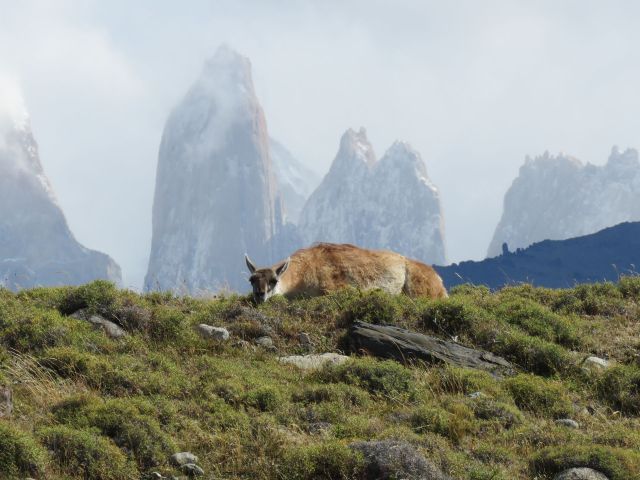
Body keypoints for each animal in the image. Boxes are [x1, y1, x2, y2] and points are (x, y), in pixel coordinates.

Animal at [244, 243, 448, 303]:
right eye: (251, 279)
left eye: (274, 280)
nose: (259, 294)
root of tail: (439, 281)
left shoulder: (336, 287)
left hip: (418, 288)